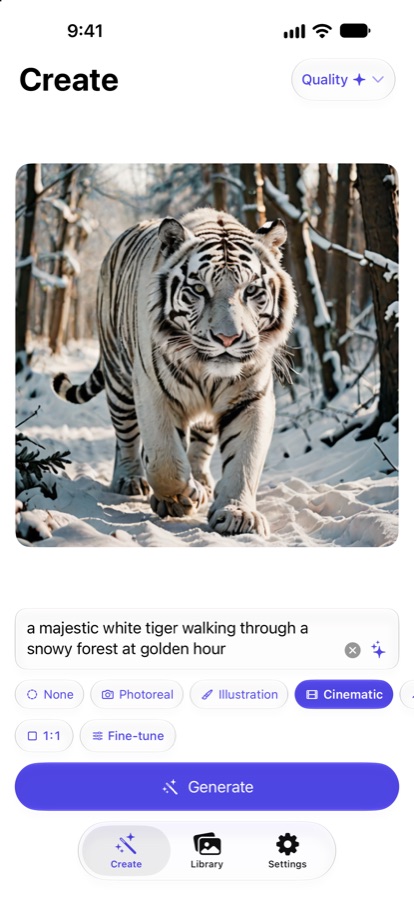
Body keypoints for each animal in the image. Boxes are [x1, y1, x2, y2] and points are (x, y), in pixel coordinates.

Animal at [53, 208, 297, 536]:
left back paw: (201, 478)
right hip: (119, 382)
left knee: (201, 444)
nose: (228, 338)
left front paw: (236, 513)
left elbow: (244, 459)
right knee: (126, 438)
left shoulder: (251, 398)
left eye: (251, 290)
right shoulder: (153, 392)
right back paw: (130, 481)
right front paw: (184, 497)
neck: (208, 374)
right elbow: (165, 461)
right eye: (199, 289)